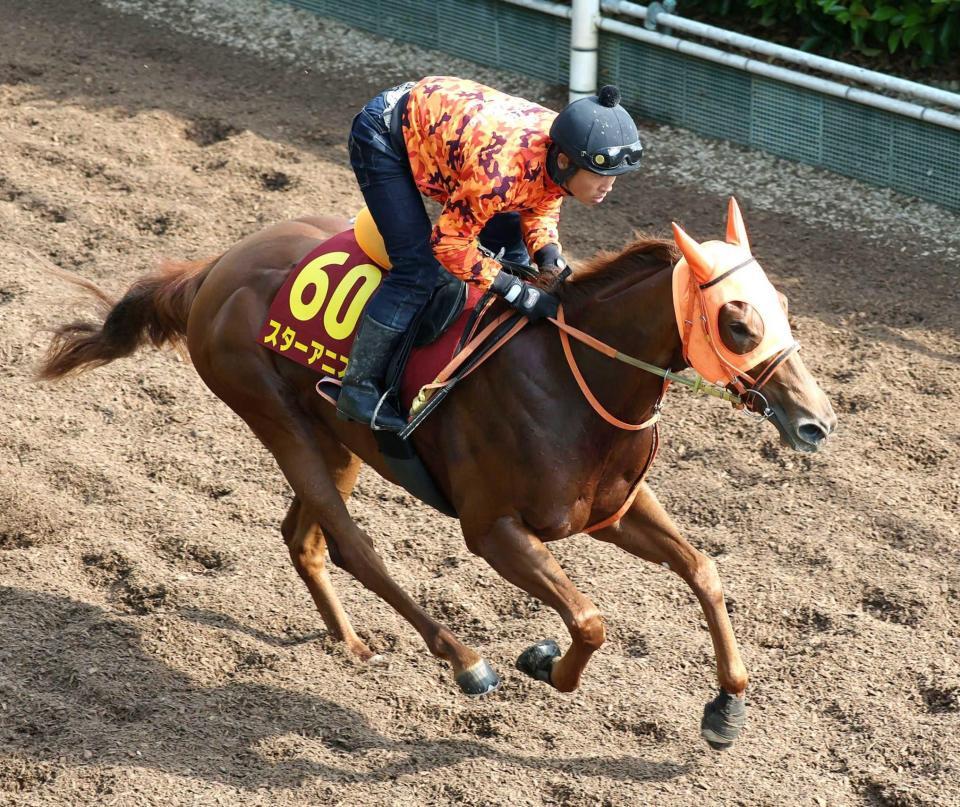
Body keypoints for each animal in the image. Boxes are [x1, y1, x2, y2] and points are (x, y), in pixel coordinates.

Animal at [39, 198, 836, 750]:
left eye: (783, 306)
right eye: (738, 323)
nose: (816, 421)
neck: (575, 378)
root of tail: (216, 267)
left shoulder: (611, 510)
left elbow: (703, 570)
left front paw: (726, 707)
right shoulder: (494, 529)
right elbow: (590, 619)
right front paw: (542, 661)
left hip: (335, 439)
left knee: (304, 537)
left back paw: (352, 644)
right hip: (276, 418)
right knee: (350, 543)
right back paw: (464, 659)